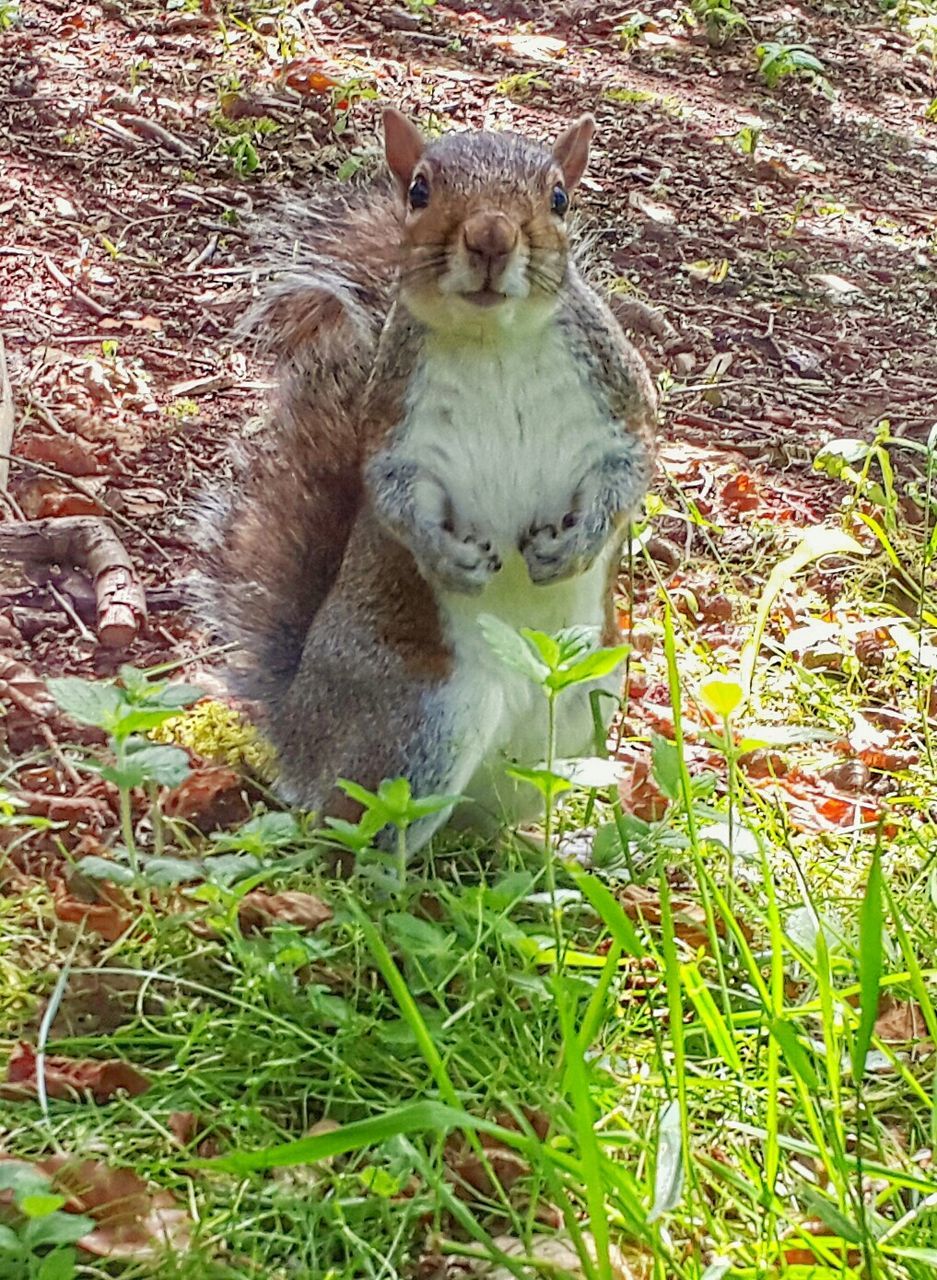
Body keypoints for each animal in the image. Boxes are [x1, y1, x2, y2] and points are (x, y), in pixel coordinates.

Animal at [194, 107, 655, 849]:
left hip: (586, 703)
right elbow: (392, 497)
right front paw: (447, 557)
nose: (490, 236)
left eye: (559, 197)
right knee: (358, 835)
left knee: (484, 824)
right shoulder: (391, 429)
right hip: (420, 727)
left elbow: (630, 472)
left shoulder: (622, 403)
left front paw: (574, 545)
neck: (495, 339)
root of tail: (297, 733)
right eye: (419, 190)